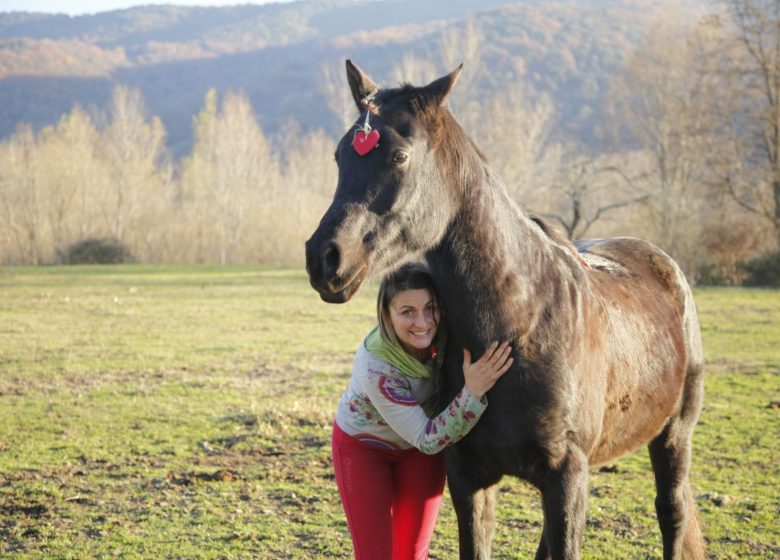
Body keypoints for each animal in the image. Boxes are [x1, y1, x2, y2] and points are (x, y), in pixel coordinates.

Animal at [305, 60, 706, 560]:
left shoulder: (566, 476)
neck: (522, 322)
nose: (325, 258)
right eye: (341, 156)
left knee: (672, 511)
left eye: (398, 156)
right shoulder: (468, 478)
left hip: (673, 435)